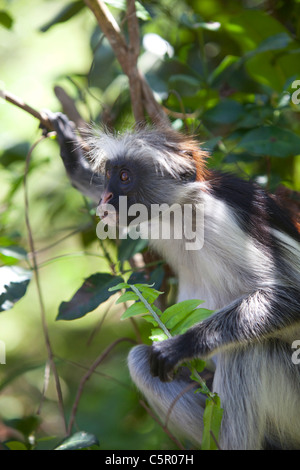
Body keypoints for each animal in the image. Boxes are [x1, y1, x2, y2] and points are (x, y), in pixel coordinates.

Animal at [47, 112, 300, 450]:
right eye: (110, 174)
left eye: (125, 177)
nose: (106, 197)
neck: (182, 214)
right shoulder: (154, 218)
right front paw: (74, 161)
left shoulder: (220, 221)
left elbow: (291, 296)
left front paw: (183, 345)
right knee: (141, 360)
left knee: (247, 352)